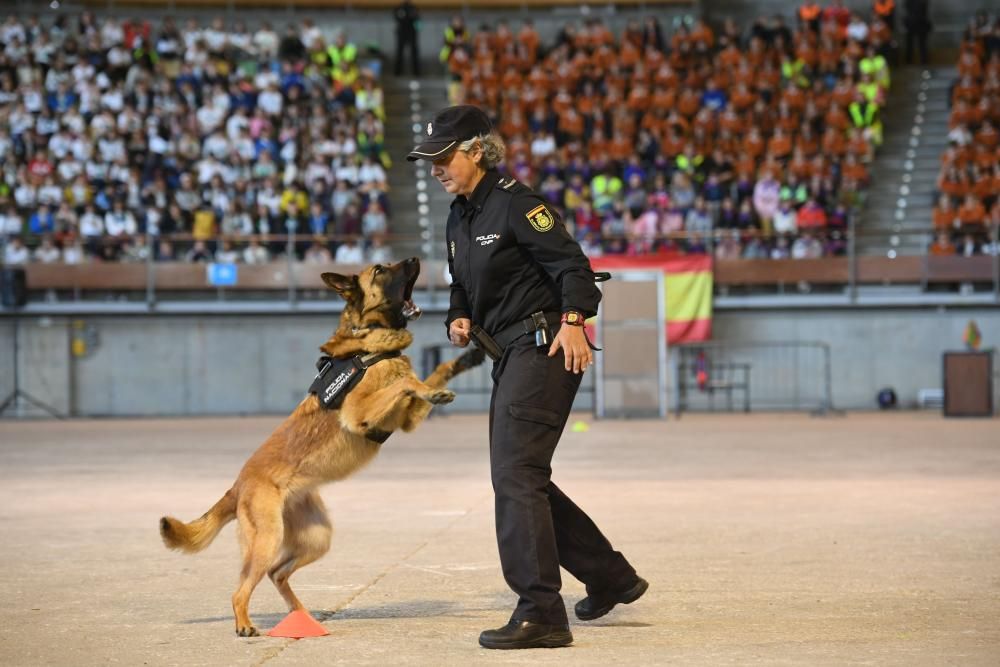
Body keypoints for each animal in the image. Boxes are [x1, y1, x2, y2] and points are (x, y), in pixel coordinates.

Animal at [159, 258, 480, 636]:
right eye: (380, 270)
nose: (417, 260)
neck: (367, 342)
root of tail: (237, 485)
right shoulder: (359, 413)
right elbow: (405, 381)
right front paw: (425, 385)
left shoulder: (407, 419)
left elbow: (434, 371)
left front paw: (463, 363)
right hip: (267, 539)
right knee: (242, 587)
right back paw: (245, 624)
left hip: (317, 537)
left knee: (277, 573)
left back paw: (302, 617)